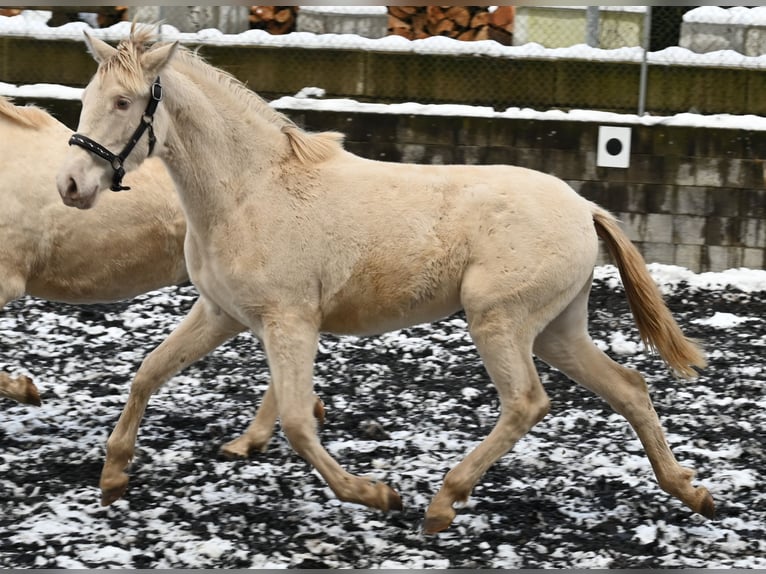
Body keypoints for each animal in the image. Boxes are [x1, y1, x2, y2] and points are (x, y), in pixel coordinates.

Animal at [57, 29, 716, 536]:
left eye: (123, 102)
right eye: (89, 96)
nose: (70, 186)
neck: (249, 192)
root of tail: (585, 207)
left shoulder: (291, 321)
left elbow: (298, 419)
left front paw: (376, 495)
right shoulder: (220, 312)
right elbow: (149, 371)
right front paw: (113, 477)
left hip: (499, 319)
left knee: (528, 402)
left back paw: (441, 504)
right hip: (558, 328)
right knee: (629, 387)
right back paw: (691, 492)